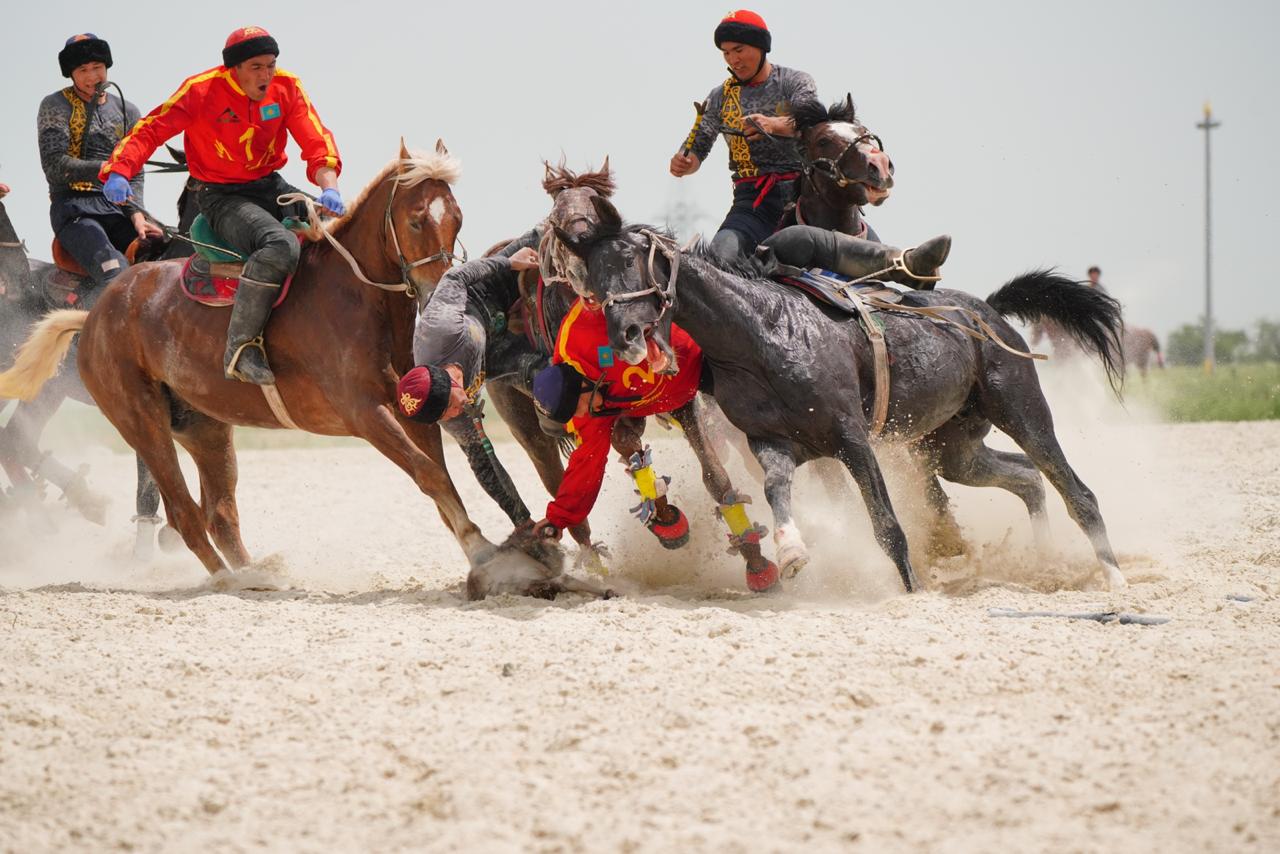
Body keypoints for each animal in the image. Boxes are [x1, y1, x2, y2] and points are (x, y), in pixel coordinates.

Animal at [0, 140, 586, 599]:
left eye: (456, 216)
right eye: (418, 218)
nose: (438, 285)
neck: (353, 300)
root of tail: (93, 315)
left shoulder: (413, 414)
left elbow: (442, 482)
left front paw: (493, 556)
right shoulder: (367, 415)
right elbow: (429, 476)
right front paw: (487, 553)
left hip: (206, 430)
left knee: (220, 515)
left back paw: (258, 573)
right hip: (142, 424)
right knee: (184, 514)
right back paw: (230, 580)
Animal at [552, 195, 1131, 594]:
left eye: (633, 261)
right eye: (592, 276)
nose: (625, 335)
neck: (762, 334)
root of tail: (983, 311)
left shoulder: (852, 440)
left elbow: (887, 526)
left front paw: (911, 590)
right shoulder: (772, 444)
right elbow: (776, 490)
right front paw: (790, 552)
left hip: (1022, 411)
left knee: (1073, 488)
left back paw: (1112, 577)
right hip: (954, 448)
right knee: (1027, 478)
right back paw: (1046, 560)